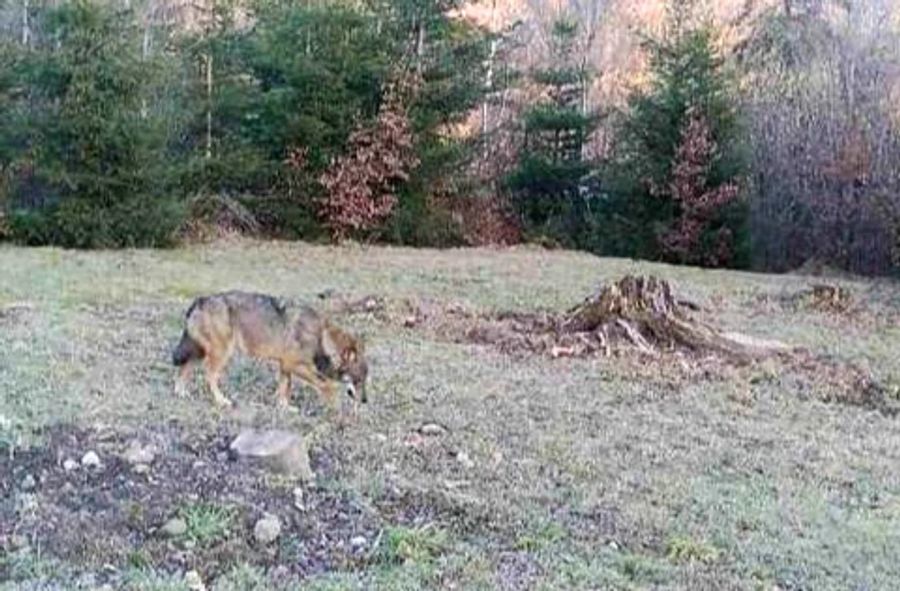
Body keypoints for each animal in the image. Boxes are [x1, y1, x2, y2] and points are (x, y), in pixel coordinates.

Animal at [171, 290, 368, 412]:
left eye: (364, 380)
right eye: (358, 380)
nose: (365, 401)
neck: (321, 337)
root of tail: (200, 300)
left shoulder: (285, 366)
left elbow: (284, 389)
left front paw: (284, 408)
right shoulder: (293, 365)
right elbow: (326, 384)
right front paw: (334, 403)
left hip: (201, 353)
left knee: (183, 370)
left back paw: (181, 393)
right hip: (221, 354)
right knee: (209, 376)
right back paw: (221, 401)